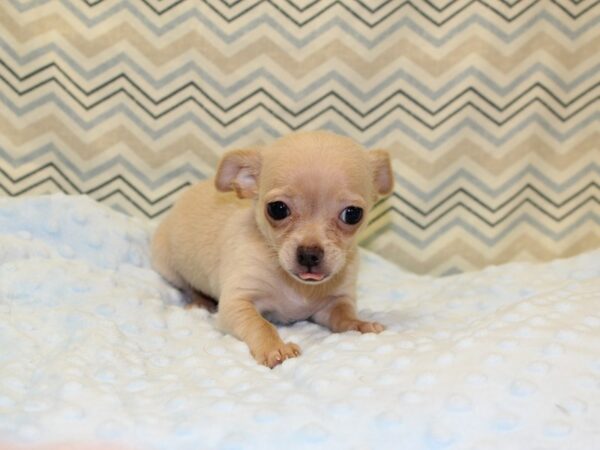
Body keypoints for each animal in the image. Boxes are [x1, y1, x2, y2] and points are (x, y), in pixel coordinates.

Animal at [150, 130, 394, 366]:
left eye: (352, 214)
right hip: (169, 266)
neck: (297, 286)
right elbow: (261, 324)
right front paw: (275, 348)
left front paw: (360, 324)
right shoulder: (237, 304)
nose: (309, 254)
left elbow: (344, 316)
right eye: (277, 209)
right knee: (188, 286)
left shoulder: (334, 302)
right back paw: (201, 301)